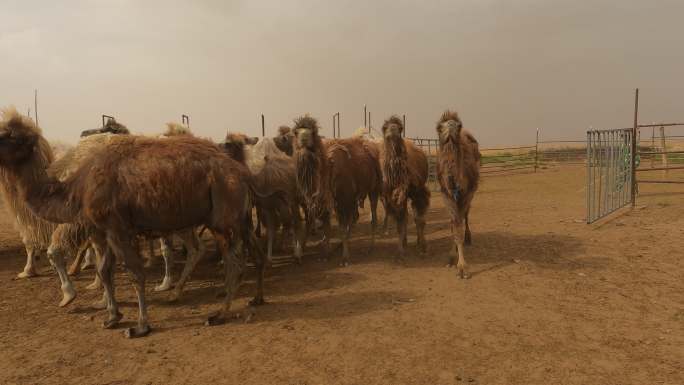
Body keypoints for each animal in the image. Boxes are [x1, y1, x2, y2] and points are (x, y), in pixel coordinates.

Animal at [0, 108, 262, 336]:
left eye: (9, 135)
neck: (77, 188)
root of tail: (242, 173)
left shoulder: (118, 227)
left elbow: (134, 273)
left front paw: (140, 326)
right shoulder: (103, 230)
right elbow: (105, 270)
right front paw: (112, 317)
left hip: (223, 215)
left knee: (233, 262)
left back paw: (218, 314)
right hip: (232, 218)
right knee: (240, 251)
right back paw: (251, 299)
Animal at [292, 114, 382, 264]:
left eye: (313, 132)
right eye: (296, 132)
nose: (304, 139)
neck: (327, 170)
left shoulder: (342, 200)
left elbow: (340, 228)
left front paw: (345, 258)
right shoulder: (324, 201)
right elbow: (327, 229)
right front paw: (326, 254)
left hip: (373, 188)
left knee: (371, 218)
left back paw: (370, 247)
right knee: (355, 217)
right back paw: (339, 247)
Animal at [376, 115, 430, 260]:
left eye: (400, 128)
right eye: (384, 128)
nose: (393, 130)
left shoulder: (417, 192)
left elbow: (419, 219)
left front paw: (423, 247)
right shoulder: (391, 197)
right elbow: (400, 222)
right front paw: (400, 251)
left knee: (415, 217)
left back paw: (417, 241)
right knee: (405, 216)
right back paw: (405, 242)